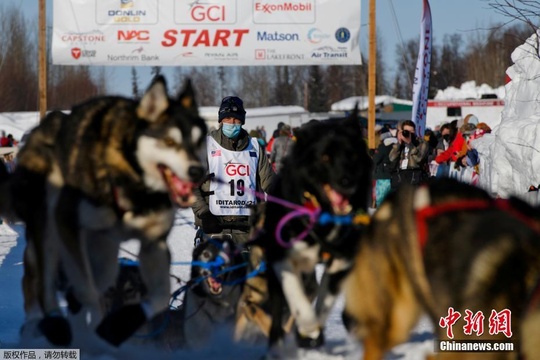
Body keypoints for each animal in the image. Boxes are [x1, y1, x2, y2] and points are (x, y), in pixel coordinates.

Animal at [11, 77, 209, 348]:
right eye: (170, 142)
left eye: (199, 141)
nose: (197, 171)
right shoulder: (69, 229)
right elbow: (85, 292)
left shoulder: (154, 243)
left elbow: (159, 295)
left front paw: (121, 323)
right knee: (42, 284)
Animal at [252, 113, 372, 352]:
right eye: (324, 157)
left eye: (352, 154)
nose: (347, 181)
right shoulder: (282, 258)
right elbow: (298, 301)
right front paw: (307, 327)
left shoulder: (341, 261)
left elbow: (322, 304)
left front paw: (312, 332)